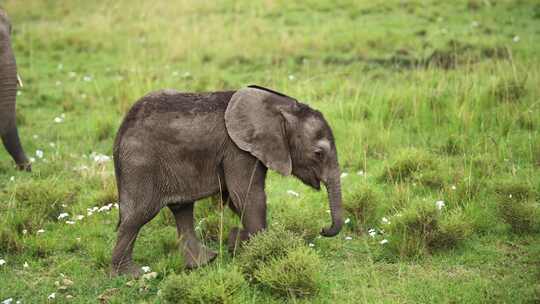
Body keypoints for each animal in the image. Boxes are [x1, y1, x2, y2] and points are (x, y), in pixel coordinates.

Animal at [112, 85, 344, 276]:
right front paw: (257, 249)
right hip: (141, 163)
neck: (280, 106)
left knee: (182, 208)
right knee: (139, 214)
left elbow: (237, 199)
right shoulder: (238, 150)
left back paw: (203, 262)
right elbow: (247, 196)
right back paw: (130, 275)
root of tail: (121, 129)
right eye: (318, 153)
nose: (323, 229)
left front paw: (238, 241)